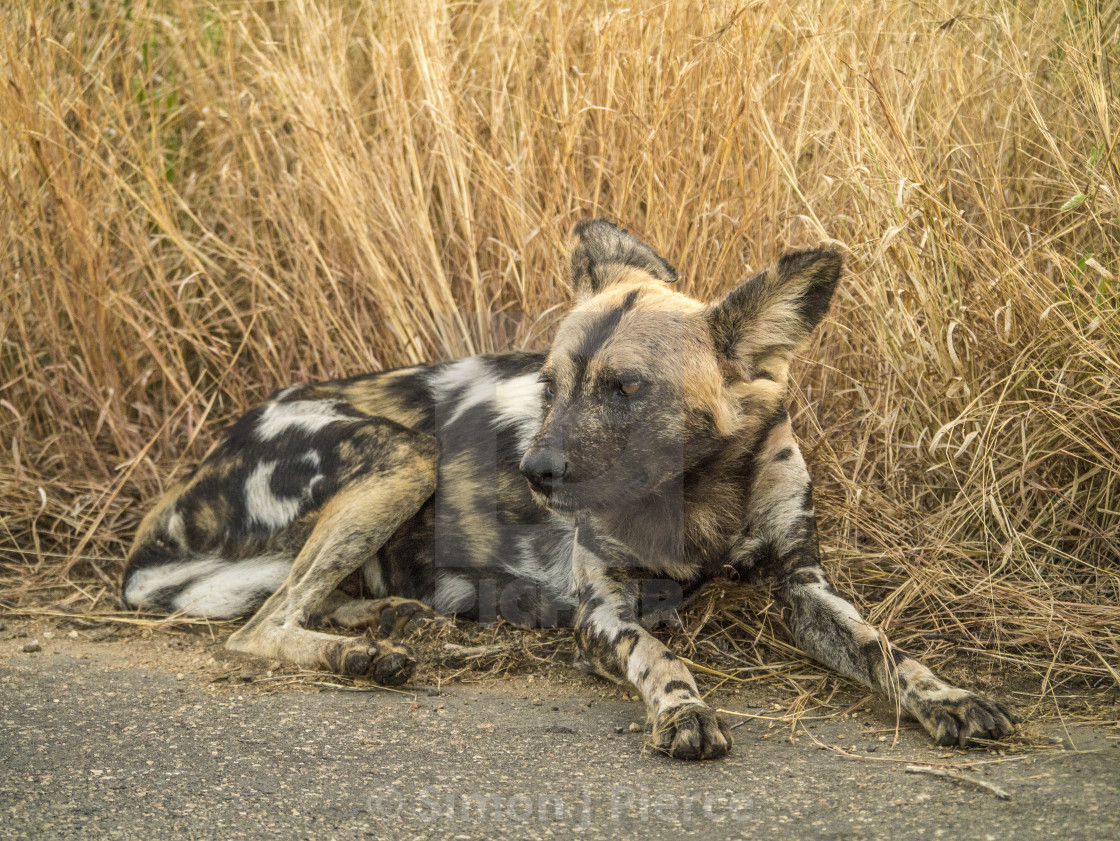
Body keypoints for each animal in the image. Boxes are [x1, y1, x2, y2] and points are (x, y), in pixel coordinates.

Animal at [122, 220, 1016, 761]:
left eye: (625, 388)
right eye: (550, 386)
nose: (535, 469)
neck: (698, 494)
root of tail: (178, 495)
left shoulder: (805, 587)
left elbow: (887, 648)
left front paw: (947, 694)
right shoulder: (604, 610)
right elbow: (660, 654)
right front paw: (682, 710)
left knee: (301, 602)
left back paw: (391, 620)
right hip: (405, 458)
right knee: (258, 628)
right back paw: (364, 653)